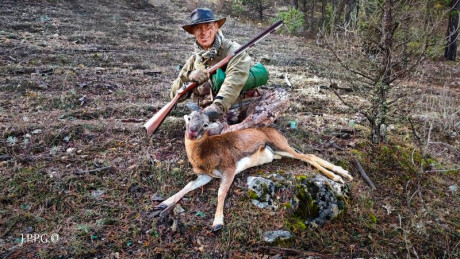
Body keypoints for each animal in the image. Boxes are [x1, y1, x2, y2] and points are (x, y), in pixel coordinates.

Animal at [153, 110, 354, 233]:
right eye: (189, 119)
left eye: (205, 124)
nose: (192, 132)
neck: (205, 155)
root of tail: (275, 132)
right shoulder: (205, 176)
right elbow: (188, 185)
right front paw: (163, 203)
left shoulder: (229, 170)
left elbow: (221, 192)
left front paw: (217, 223)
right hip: (280, 152)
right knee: (308, 154)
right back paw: (344, 174)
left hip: (281, 147)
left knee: (308, 157)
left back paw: (339, 177)